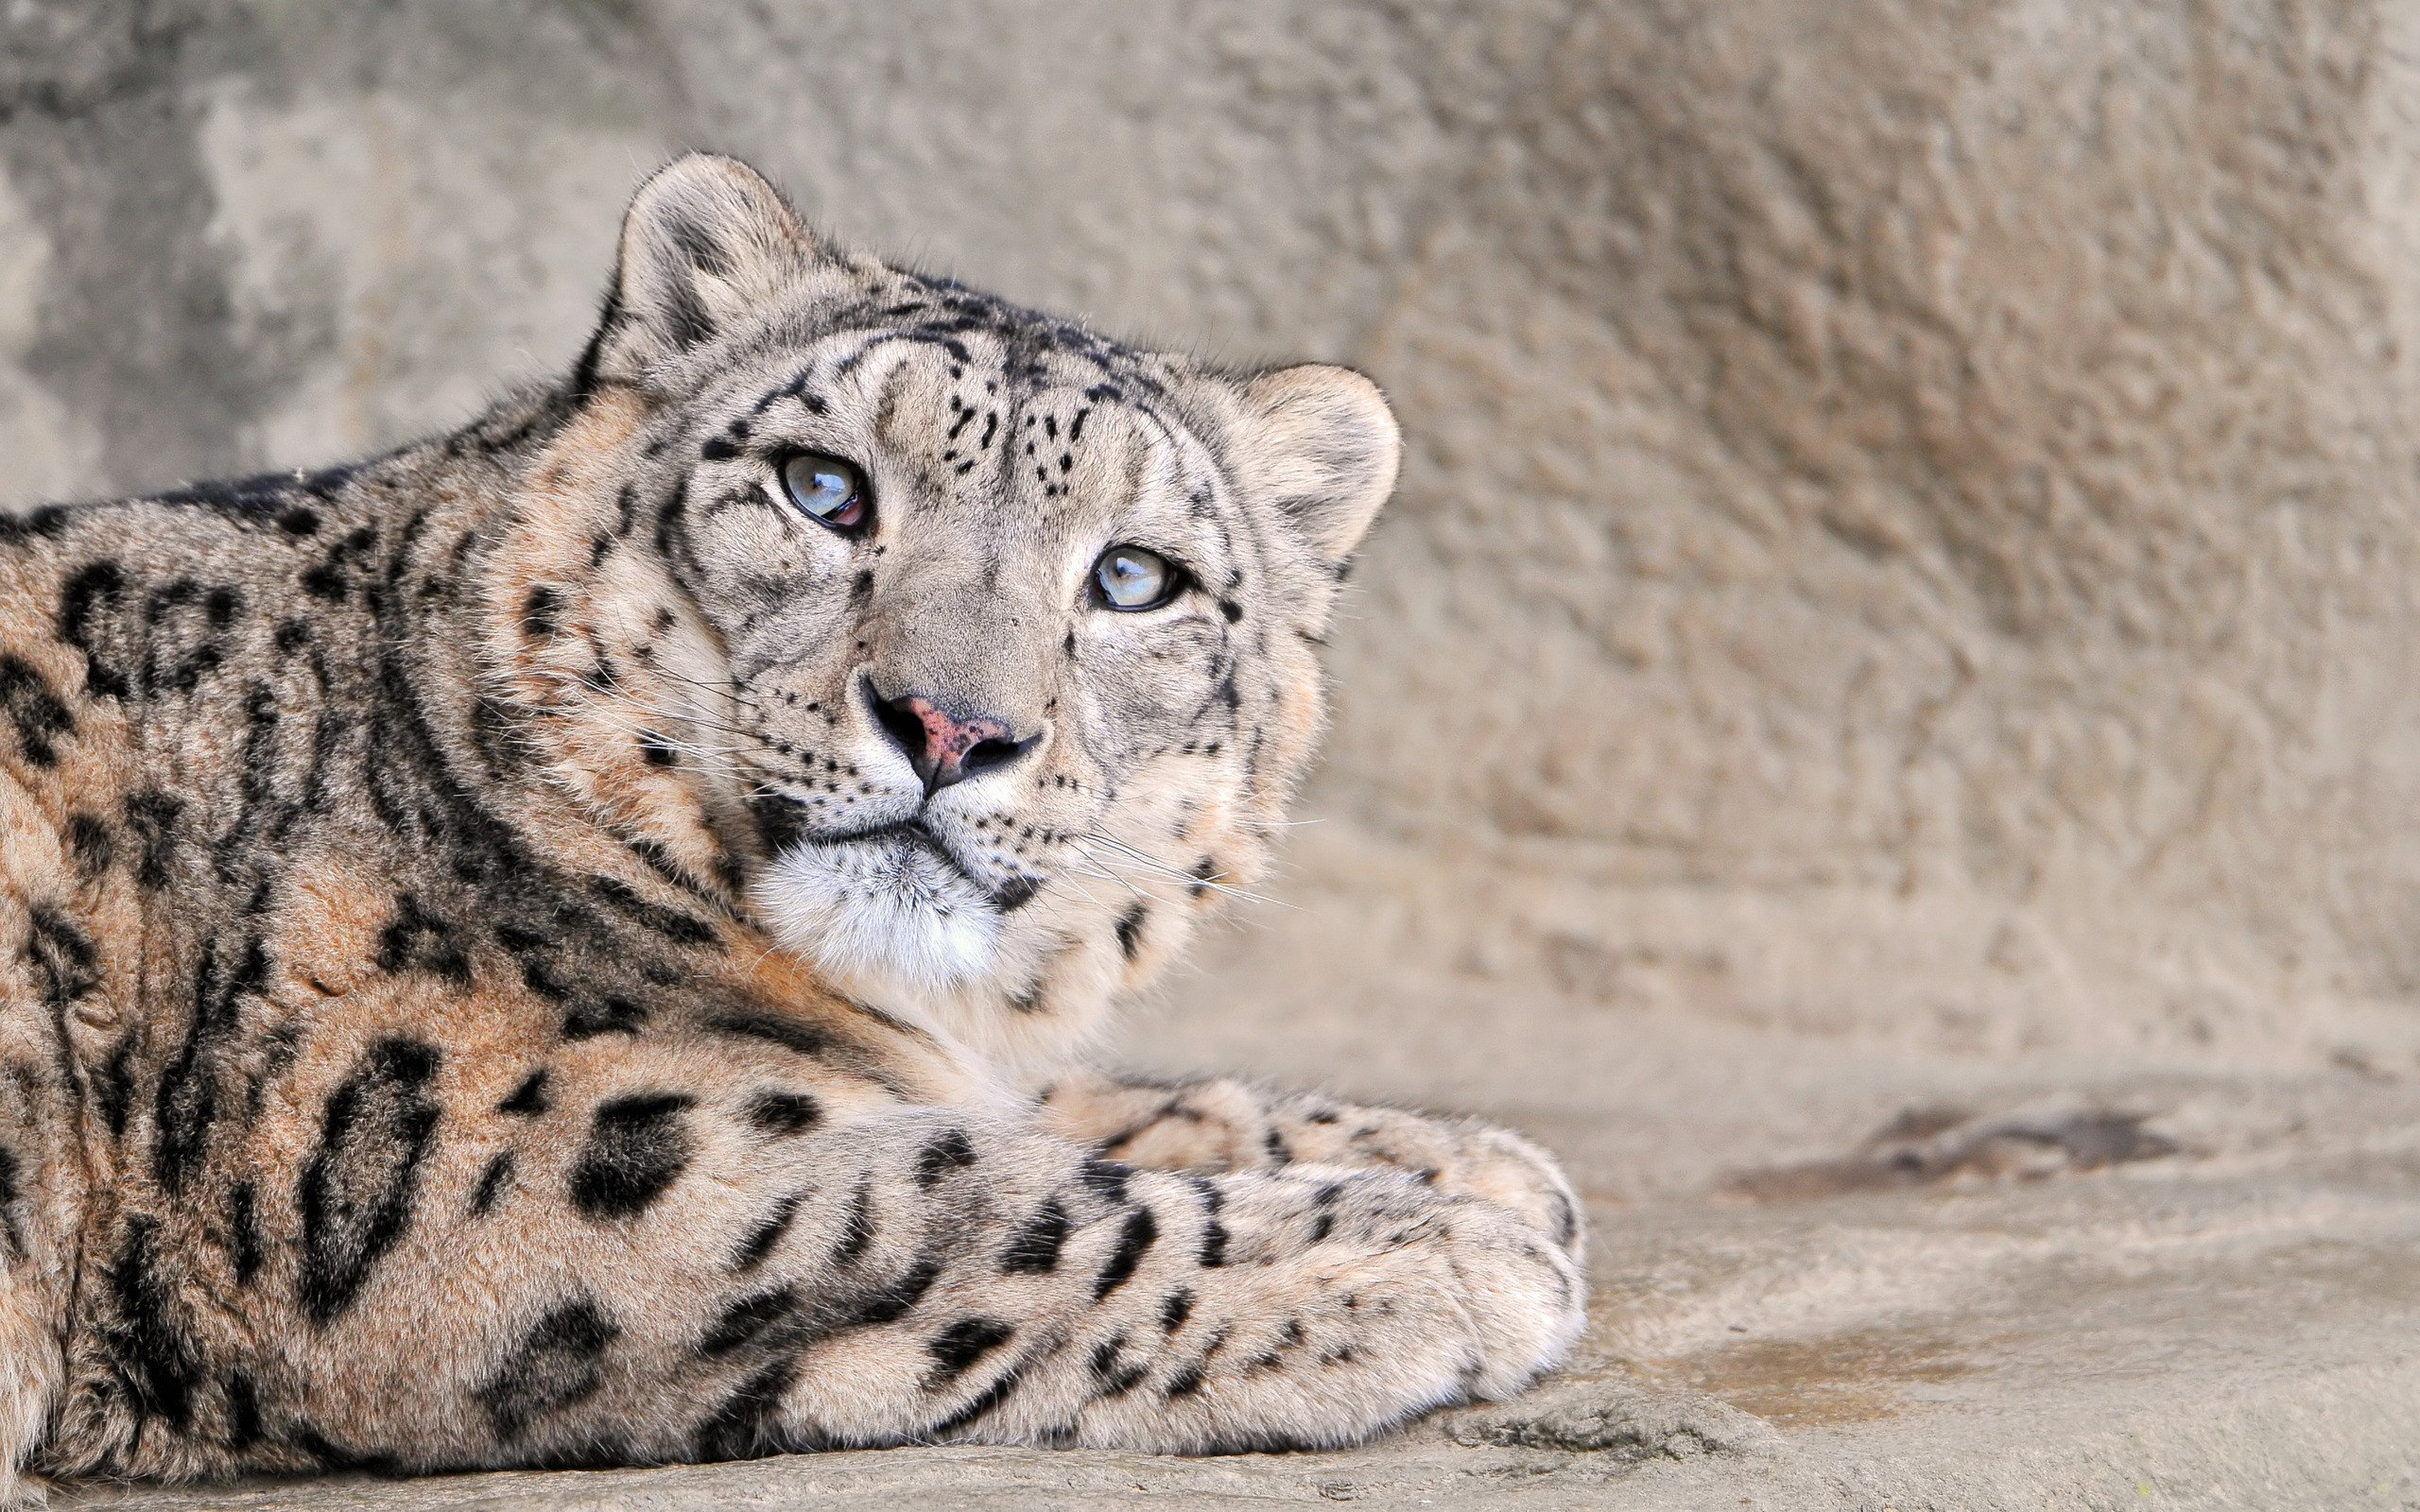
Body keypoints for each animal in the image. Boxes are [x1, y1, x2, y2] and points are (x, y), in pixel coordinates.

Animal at [0, 153, 1585, 1494]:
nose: (951, 726)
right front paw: (1435, 1246)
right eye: (825, 489)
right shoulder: (489, 1153)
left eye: (1135, 579)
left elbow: (1062, 1110)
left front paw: (1461, 1160)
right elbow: (957, 1202)